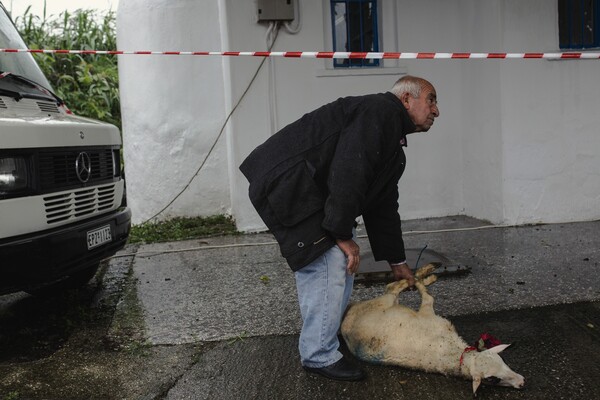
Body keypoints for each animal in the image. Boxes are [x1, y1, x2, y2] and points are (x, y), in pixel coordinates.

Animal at [342, 264, 524, 396]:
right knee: (394, 286)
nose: (522, 382)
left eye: (503, 361)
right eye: (493, 379)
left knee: (391, 286)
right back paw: (427, 272)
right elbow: (427, 295)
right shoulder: (429, 313)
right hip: (385, 301)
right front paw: (423, 279)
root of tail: (346, 318)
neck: (455, 352)